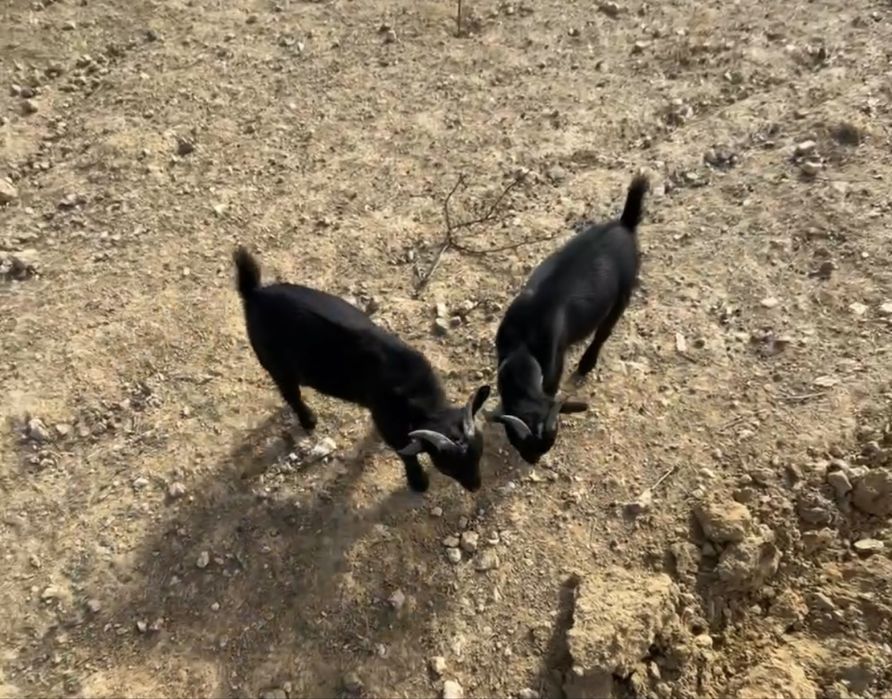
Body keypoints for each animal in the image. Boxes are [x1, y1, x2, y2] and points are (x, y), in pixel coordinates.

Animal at [233, 247, 490, 492]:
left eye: (479, 453)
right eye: (448, 465)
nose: (476, 486)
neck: (415, 388)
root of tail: (254, 292)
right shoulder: (386, 420)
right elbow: (405, 454)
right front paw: (419, 482)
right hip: (274, 363)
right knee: (290, 394)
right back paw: (309, 421)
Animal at [490, 174, 649, 464]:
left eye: (548, 444)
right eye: (522, 444)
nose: (534, 461)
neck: (524, 342)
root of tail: (624, 224)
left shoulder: (554, 366)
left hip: (623, 295)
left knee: (603, 332)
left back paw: (586, 365)